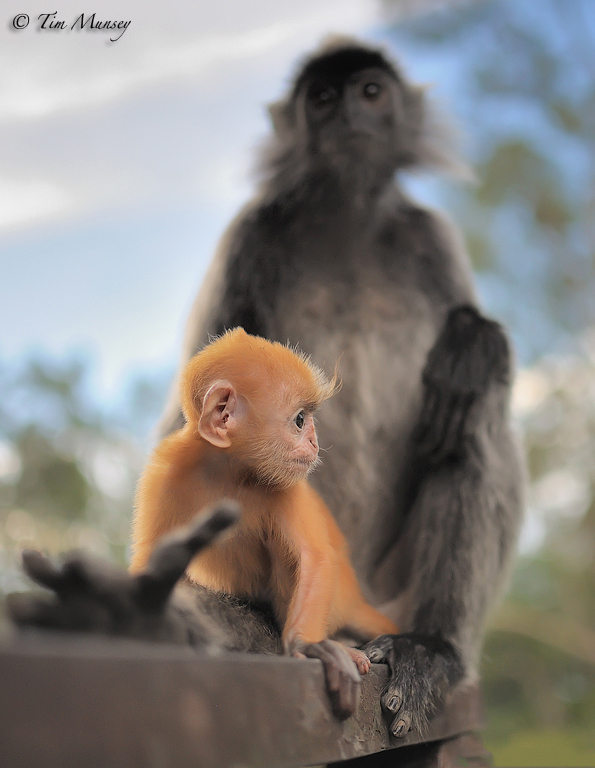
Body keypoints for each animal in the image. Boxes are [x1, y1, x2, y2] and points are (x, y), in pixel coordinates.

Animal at [131, 326, 400, 712]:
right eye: (300, 420)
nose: (315, 442)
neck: (229, 472)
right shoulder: (163, 472)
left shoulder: (287, 486)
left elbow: (315, 558)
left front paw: (307, 646)